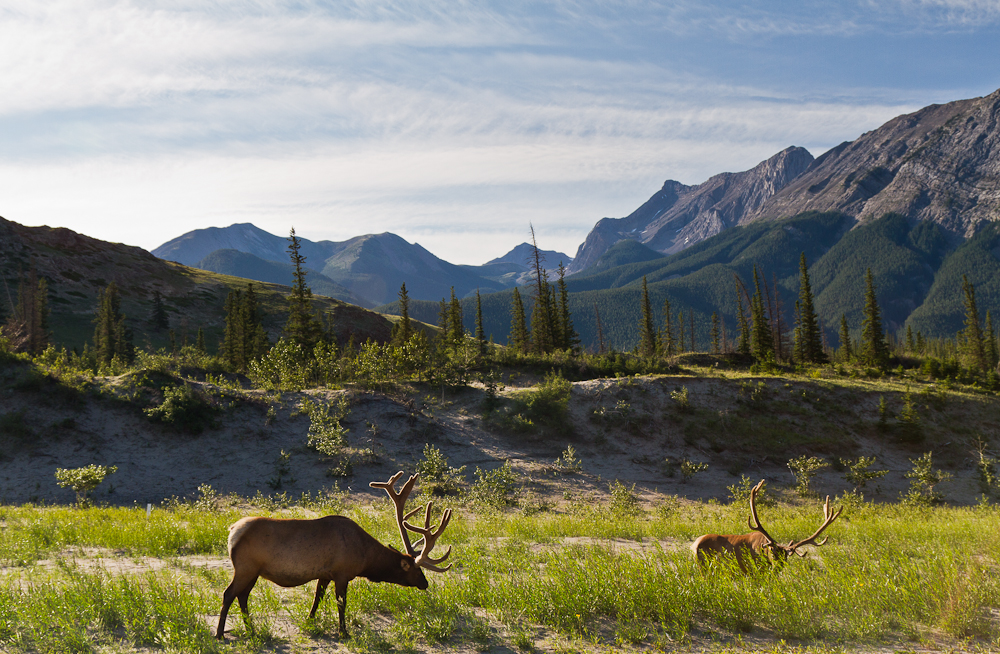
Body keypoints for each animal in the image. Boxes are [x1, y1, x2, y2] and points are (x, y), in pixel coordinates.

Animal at [221, 474, 456, 644]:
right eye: (416, 570)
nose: (425, 584)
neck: (365, 558)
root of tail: (232, 530)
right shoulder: (342, 573)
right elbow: (341, 603)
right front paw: (344, 632)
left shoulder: (325, 574)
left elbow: (317, 598)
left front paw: (310, 622)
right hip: (246, 567)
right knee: (229, 593)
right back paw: (220, 634)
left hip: (254, 571)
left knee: (242, 596)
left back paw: (251, 629)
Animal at [692, 482, 840, 576]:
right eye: (773, 554)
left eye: (785, 557)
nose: (778, 569)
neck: (763, 550)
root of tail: (694, 545)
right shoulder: (754, 571)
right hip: (704, 567)